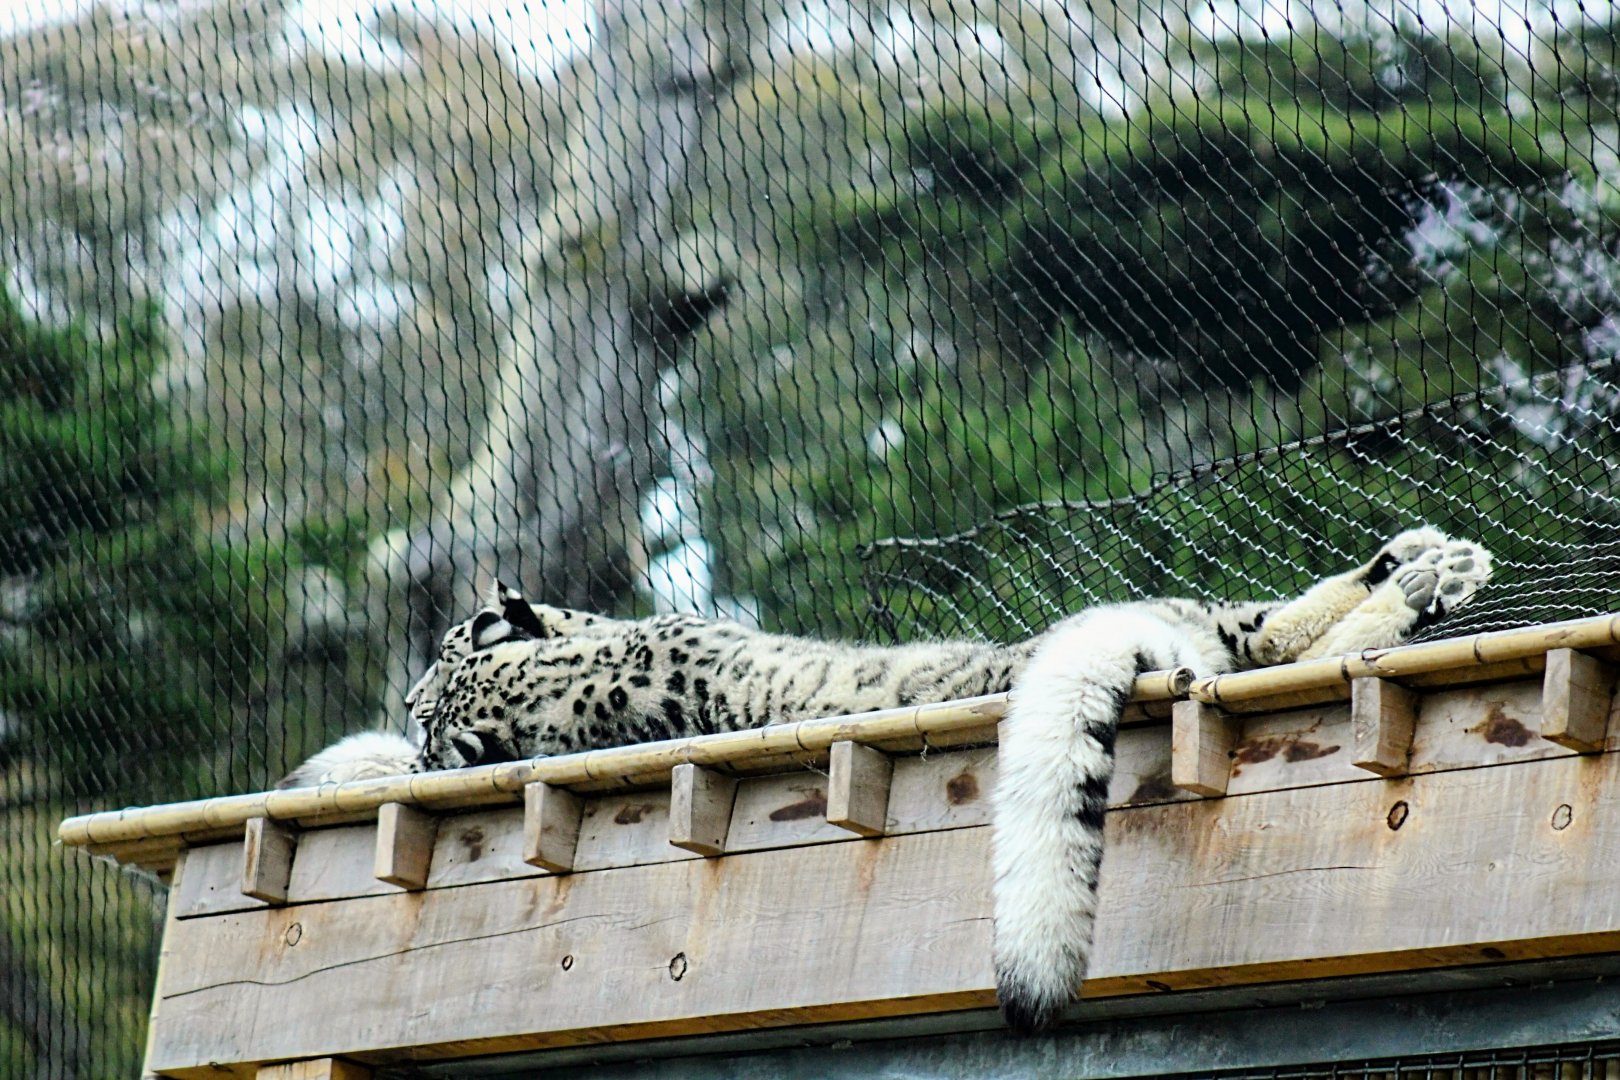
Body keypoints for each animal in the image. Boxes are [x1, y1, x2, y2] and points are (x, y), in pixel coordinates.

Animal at [282, 526, 1492, 1033]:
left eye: (430, 677)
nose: (404, 717)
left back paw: (1415, 561)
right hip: (1191, 632)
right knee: (1265, 638)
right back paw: (1424, 572)